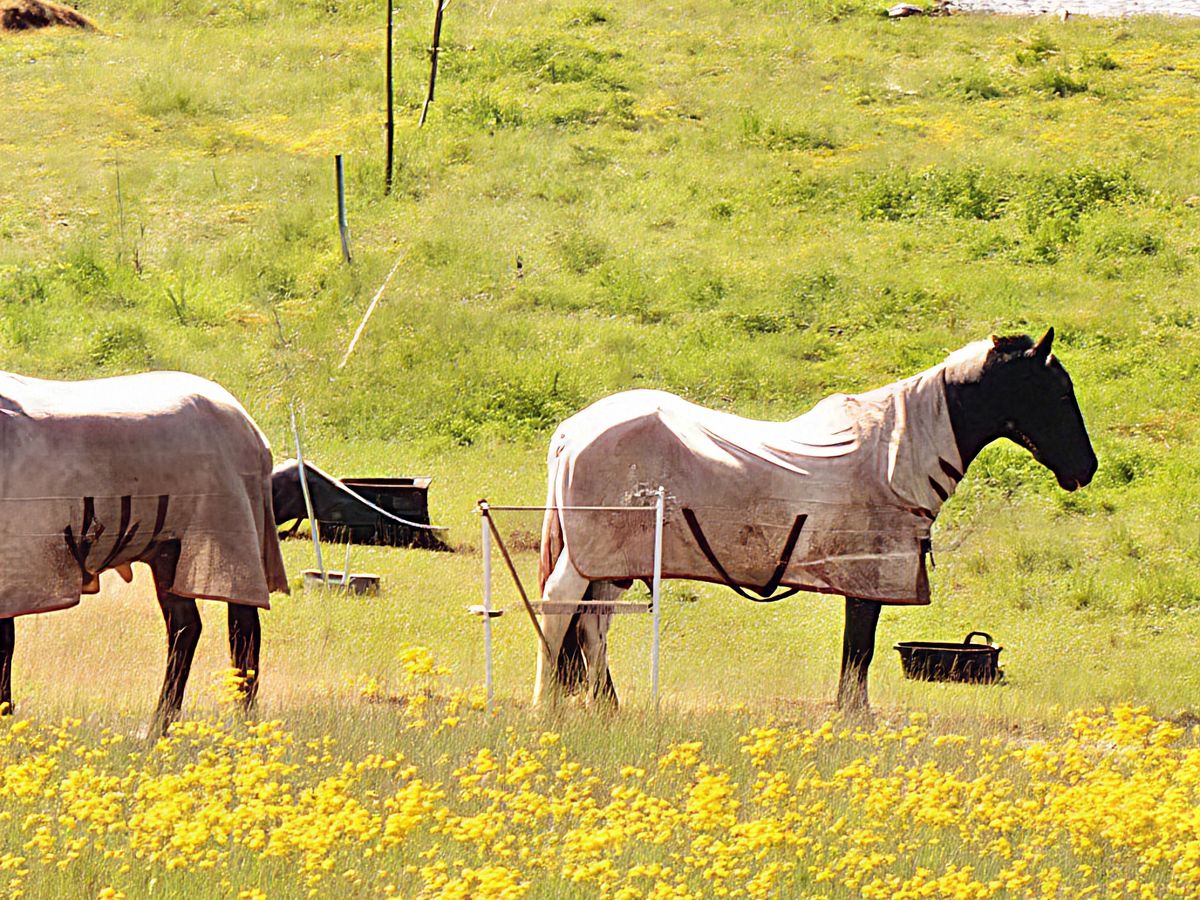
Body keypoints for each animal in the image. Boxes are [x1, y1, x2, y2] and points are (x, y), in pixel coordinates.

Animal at [0, 371, 288, 732]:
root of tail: (250, 428)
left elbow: (3, 648)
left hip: (231, 543)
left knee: (243, 630)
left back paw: (240, 721)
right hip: (168, 551)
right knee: (187, 628)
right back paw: (163, 725)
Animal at [533, 329, 1096, 710]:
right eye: (1057, 392)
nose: (1086, 468)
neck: (897, 450)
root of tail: (572, 431)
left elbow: (856, 653)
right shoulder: (870, 576)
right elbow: (860, 652)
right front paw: (855, 719)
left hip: (612, 562)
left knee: (593, 625)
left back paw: (608, 709)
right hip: (587, 559)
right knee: (560, 609)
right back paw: (548, 708)